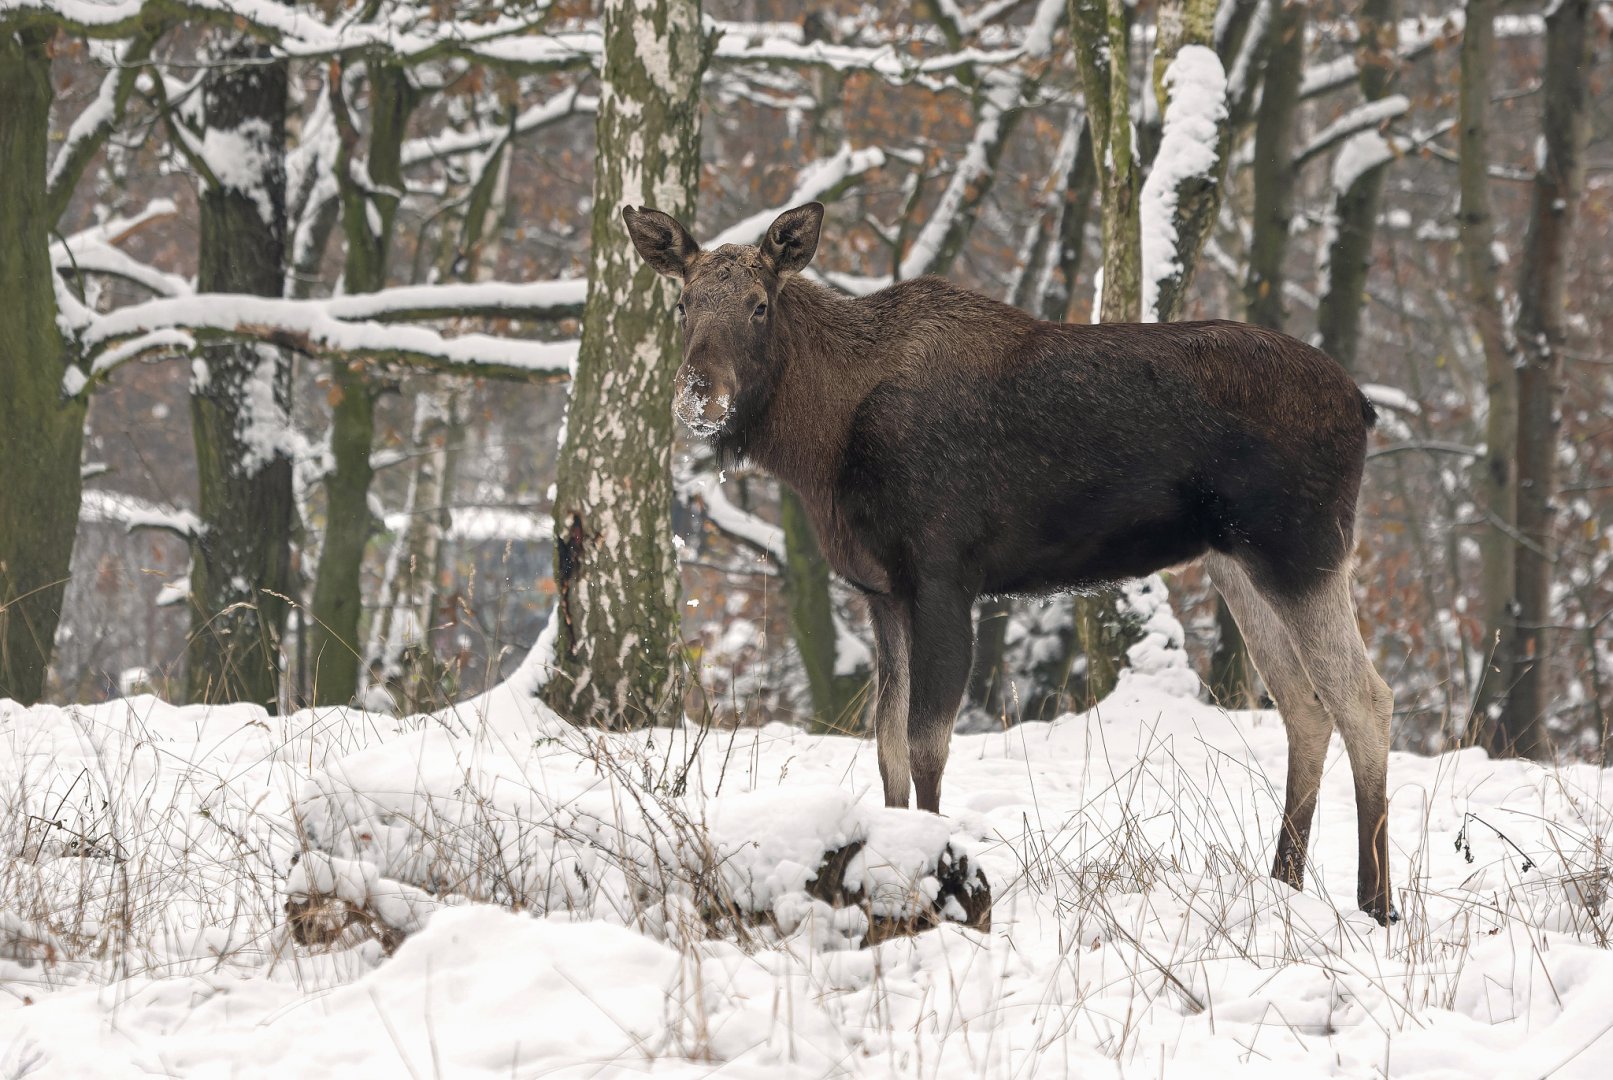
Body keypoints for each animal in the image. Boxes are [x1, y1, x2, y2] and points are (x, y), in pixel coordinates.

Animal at [624, 201, 1397, 924]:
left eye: (760, 304)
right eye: (682, 303)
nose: (698, 393)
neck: (821, 444)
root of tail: (1363, 405)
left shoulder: (942, 576)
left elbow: (926, 742)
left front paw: (939, 880)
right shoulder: (880, 590)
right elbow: (886, 743)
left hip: (1302, 547)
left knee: (1364, 696)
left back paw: (1377, 902)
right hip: (1237, 561)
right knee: (1304, 703)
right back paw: (1284, 882)